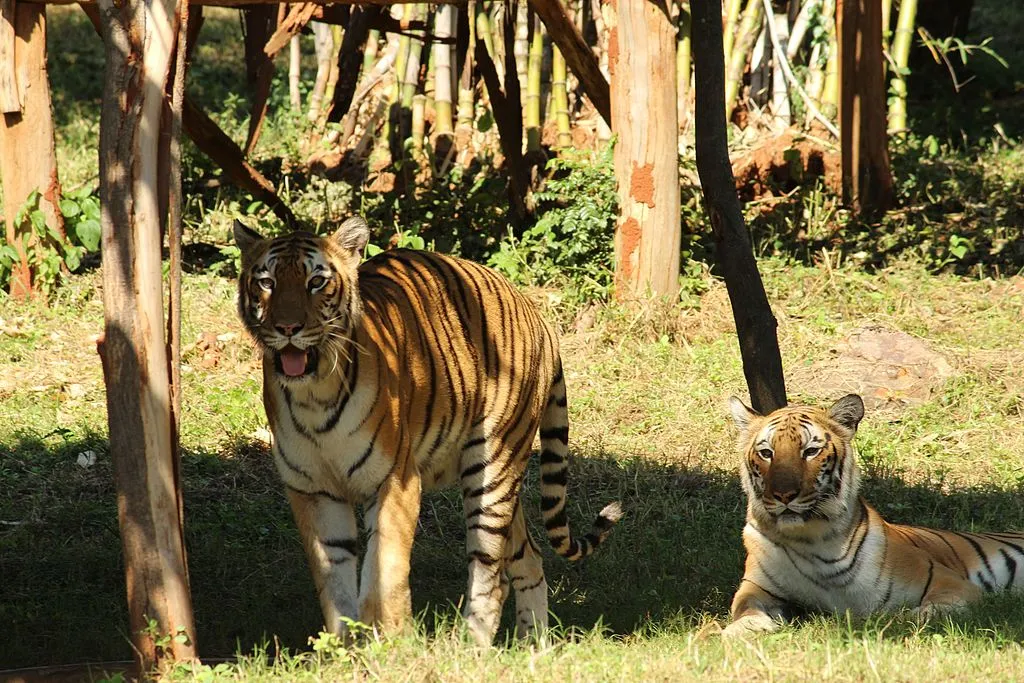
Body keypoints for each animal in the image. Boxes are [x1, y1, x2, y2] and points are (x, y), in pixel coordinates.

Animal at [232, 219, 614, 647]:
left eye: (316, 281)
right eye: (266, 282)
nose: (287, 328)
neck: (313, 394)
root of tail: (536, 314)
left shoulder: (396, 482)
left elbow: (384, 574)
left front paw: (392, 644)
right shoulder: (312, 489)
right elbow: (335, 582)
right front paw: (346, 649)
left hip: (494, 469)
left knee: (489, 570)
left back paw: (471, 647)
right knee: (528, 559)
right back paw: (534, 649)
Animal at [724, 393, 1024, 638]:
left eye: (810, 451)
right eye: (767, 453)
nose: (784, 494)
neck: (811, 539)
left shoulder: (950, 582)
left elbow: (928, 612)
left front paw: (898, 620)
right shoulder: (756, 587)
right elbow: (744, 608)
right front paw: (743, 629)